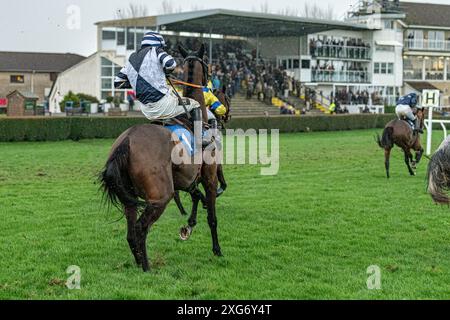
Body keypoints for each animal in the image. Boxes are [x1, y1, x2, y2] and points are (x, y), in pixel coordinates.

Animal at [100, 43, 223, 272]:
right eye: (208, 66)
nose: (210, 83)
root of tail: (127, 141)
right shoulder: (209, 178)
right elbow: (212, 217)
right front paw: (217, 249)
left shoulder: (184, 179)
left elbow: (195, 196)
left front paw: (188, 226)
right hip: (160, 197)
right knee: (140, 228)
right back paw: (147, 267)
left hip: (130, 197)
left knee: (131, 232)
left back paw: (139, 261)